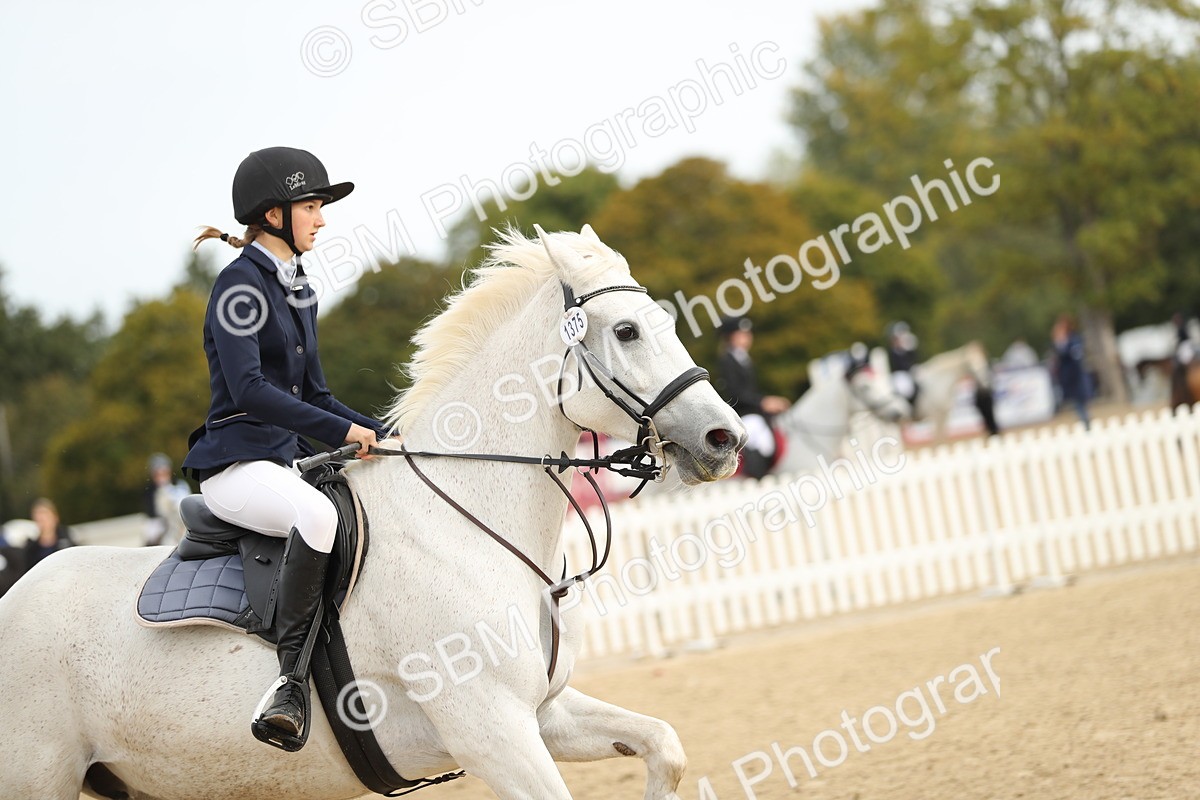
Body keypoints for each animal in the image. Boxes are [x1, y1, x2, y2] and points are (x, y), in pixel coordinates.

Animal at [0, 225, 745, 800]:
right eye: (627, 330)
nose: (725, 438)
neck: (465, 527)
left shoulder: (544, 715)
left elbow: (664, 744)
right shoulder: (492, 729)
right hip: (39, 779)